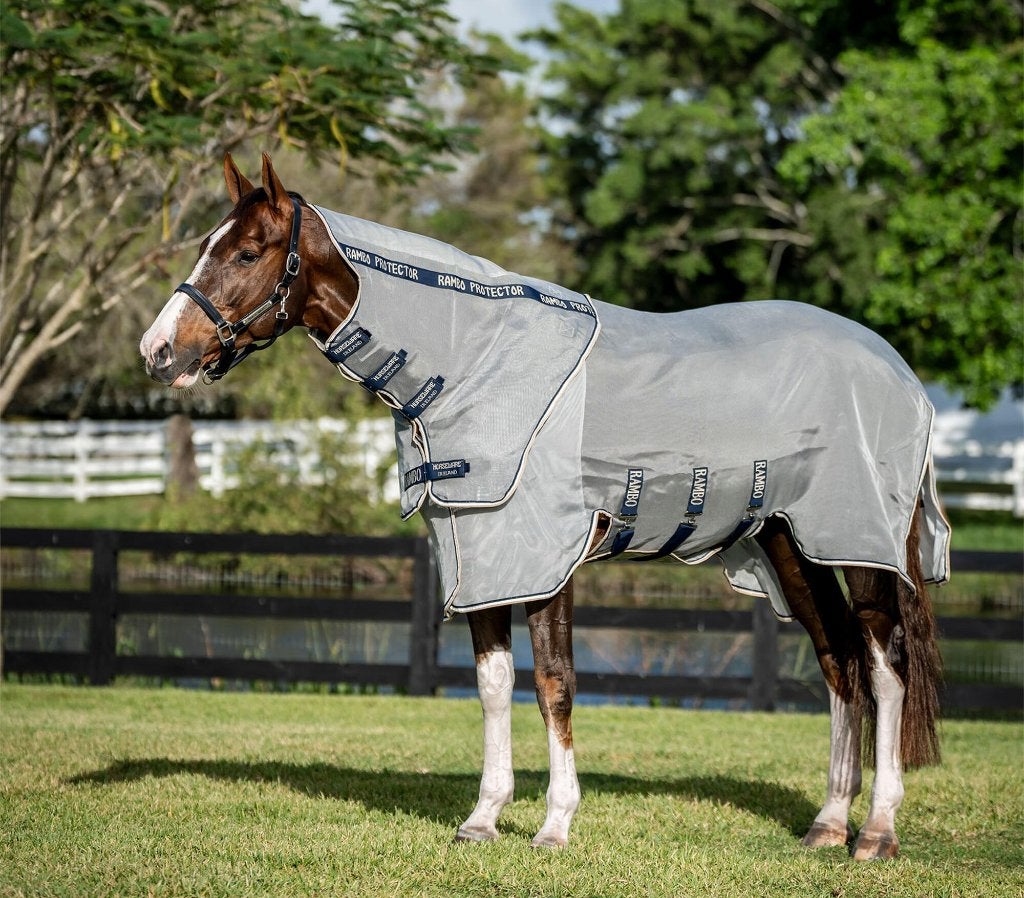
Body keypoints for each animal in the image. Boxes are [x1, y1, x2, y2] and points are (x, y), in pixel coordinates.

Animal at [141, 153, 949, 858]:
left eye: (248, 252)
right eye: (210, 244)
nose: (158, 351)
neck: (474, 362)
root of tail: (901, 374)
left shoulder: (546, 560)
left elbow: (555, 684)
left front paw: (555, 825)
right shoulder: (480, 554)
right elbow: (494, 684)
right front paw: (483, 818)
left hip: (861, 547)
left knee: (885, 666)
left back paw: (877, 832)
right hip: (792, 545)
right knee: (838, 659)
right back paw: (828, 824)